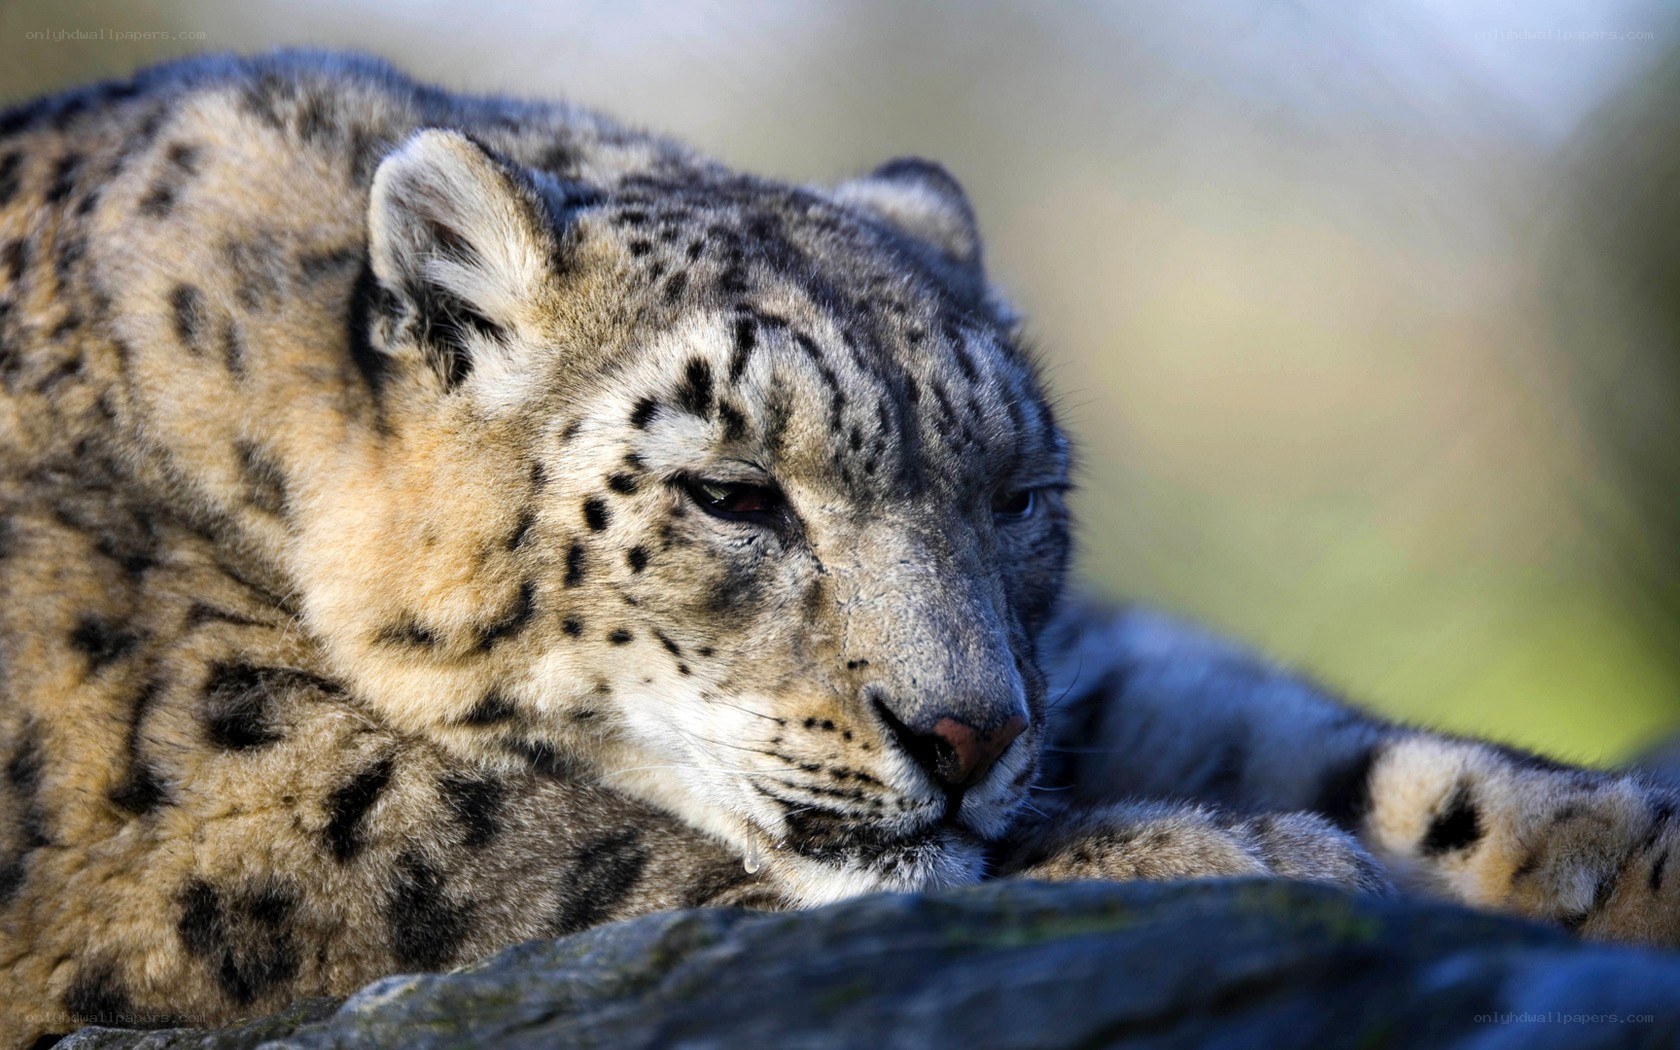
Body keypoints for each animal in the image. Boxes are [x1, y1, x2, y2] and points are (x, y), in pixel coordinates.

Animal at [1, 51, 1676, 1043]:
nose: (968, 732)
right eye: (735, 494)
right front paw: (1238, 854)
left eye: (1014, 494)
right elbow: (534, 838)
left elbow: (1319, 736)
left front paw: (1623, 850)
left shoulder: (1079, 666)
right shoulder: (192, 785)